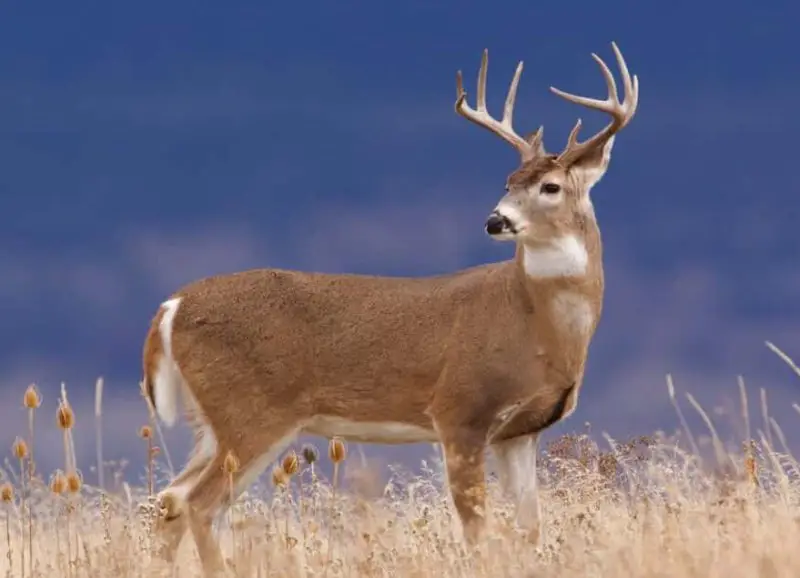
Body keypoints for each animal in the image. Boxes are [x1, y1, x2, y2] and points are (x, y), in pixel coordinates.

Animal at [141, 41, 638, 575]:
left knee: (170, 500)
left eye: (550, 187)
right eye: (508, 181)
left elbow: (529, 530)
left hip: (212, 422)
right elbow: (478, 530)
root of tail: (171, 307)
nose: (495, 220)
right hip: (251, 411)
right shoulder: (460, 410)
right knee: (198, 503)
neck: (537, 326)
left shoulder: (520, 432)